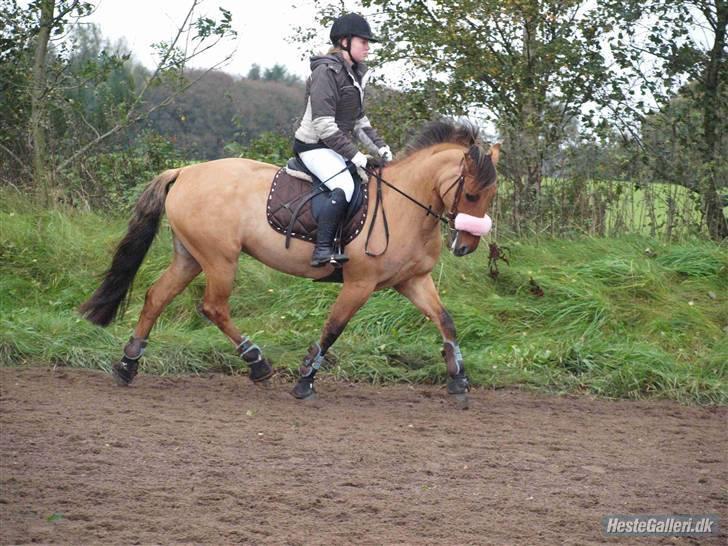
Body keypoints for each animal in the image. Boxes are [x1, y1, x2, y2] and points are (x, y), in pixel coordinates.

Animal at [81, 120, 500, 408]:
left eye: (491, 194)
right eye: (471, 194)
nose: (466, 246)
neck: (405, 204)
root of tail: (184, 171)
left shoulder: (413, 280)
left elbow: (445, 321)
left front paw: (459, 380)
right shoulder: (359, 284)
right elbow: (333, 329)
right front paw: (304, 381)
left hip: (191, 258)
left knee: (156, 297)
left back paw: (127, 366)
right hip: (219, 258)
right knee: (213, 307)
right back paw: (257, 363)